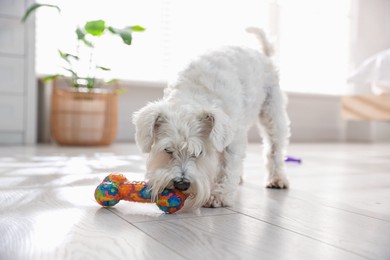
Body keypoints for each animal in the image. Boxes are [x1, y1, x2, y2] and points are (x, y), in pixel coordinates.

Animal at [133, 27, 290, 209]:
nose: (181, 184)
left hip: (273, 114)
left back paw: (277, 179)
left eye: (200, 152)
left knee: (274, 149)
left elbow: (227, 166)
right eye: (168, 150)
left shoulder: (233, 139)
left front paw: (218, 196)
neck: (193, 94)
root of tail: (263, 55)